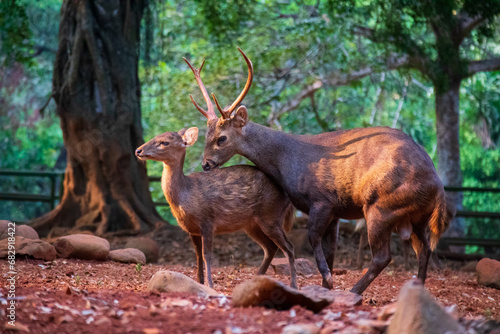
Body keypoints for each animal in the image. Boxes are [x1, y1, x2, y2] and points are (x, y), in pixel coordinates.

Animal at [135, 128, 296, 288]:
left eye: (165, 142)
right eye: (156, 136)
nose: (138, 150)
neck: (185, 195)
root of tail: (287, 196)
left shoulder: (207, 221)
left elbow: (207, 255)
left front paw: (210, 285)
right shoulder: (192, 229)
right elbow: (198, 256)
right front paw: (199, 282)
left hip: (270, 215)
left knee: (289, 247)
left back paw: (293, 285)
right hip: (252, 224)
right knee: (270, 247)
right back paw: (256, 279)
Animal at [189, 48, 456, 294]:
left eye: (222, 138)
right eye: (206, 135)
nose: (206, 164)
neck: (287, 160)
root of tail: (438, 187)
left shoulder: (322, 201)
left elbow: (313, 240)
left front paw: (328, 280)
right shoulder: (336, 211)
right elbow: (330, 250)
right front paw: (325, 286)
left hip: (381, 206)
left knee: (384, 256)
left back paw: (354, 291)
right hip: (416, 216)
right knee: (424, 249)